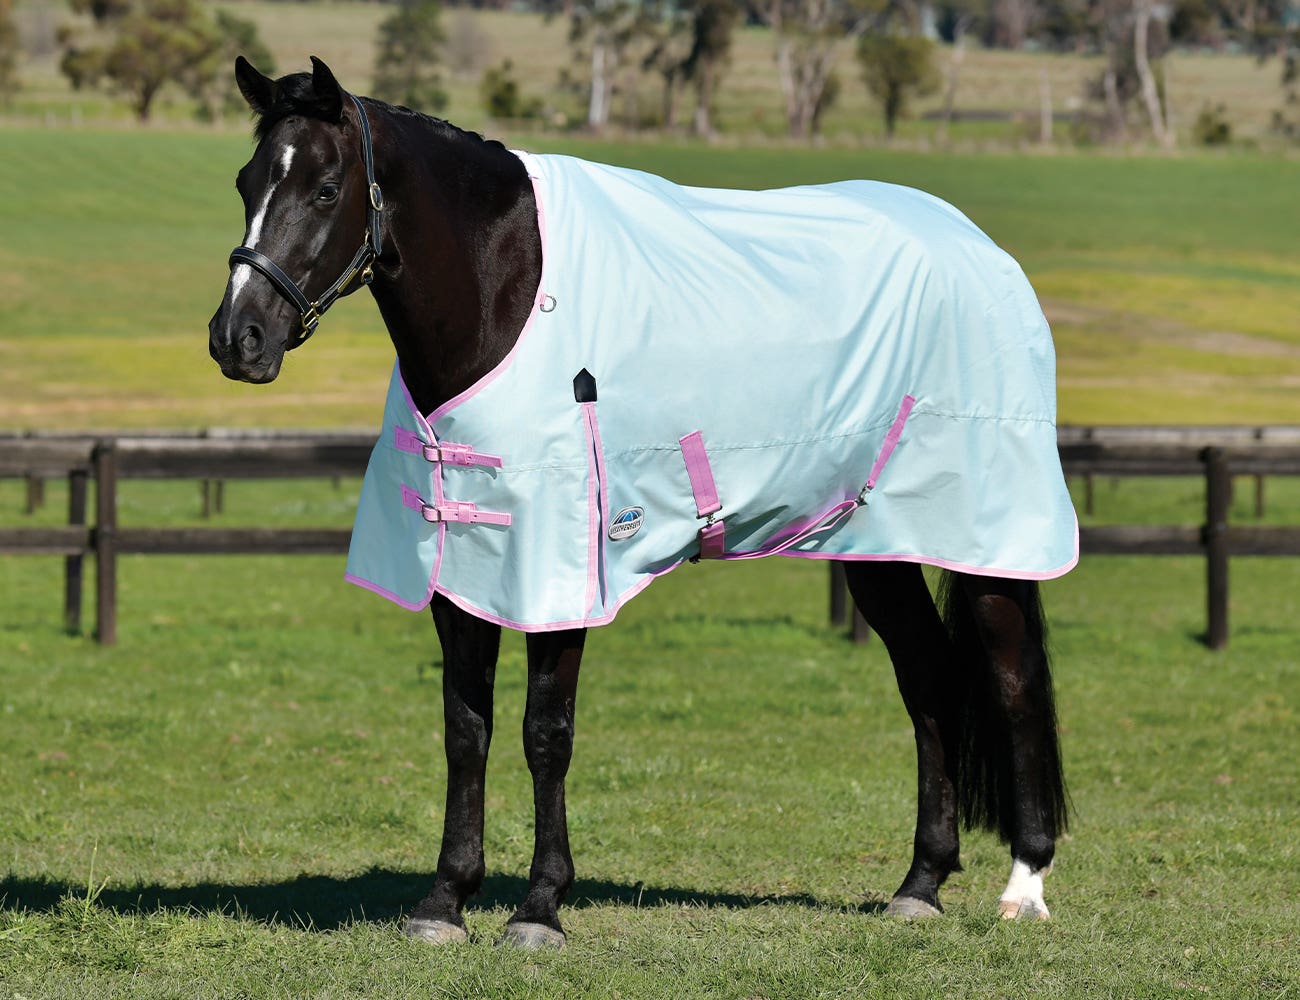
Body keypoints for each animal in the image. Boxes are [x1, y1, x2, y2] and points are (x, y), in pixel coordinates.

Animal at [208, 58, 1071, 946]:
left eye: (325, 188)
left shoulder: (559, 578)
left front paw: (540, 906)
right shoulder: (460, 573)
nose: (237, 339)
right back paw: (920, 883)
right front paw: (445, 899)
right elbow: (465, 730)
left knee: (1012, 683)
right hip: (875, 548)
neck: (508, 293)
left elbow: (544, 734)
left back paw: (1025, 884)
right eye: (246, 181)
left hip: (989, 541)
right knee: (929, 680)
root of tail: (983, 252)